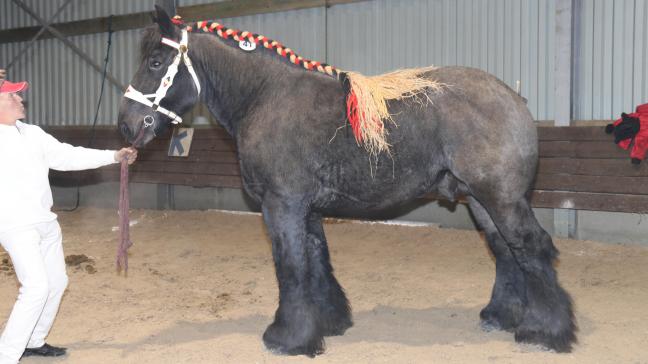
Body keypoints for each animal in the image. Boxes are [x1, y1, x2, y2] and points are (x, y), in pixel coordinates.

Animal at [117, 7, 576, 356]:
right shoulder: (306, 210)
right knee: (506, 252)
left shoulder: (281, 205)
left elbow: (290, 267)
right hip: (481, 200)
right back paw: (500, 316)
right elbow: (316, 263)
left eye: (155, 62)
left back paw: (546, 331)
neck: (265, 97)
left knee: (531, 249)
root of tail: (513, 97)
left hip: (501, 198)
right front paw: (328, 323)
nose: (126, 125)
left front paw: (288, 338)